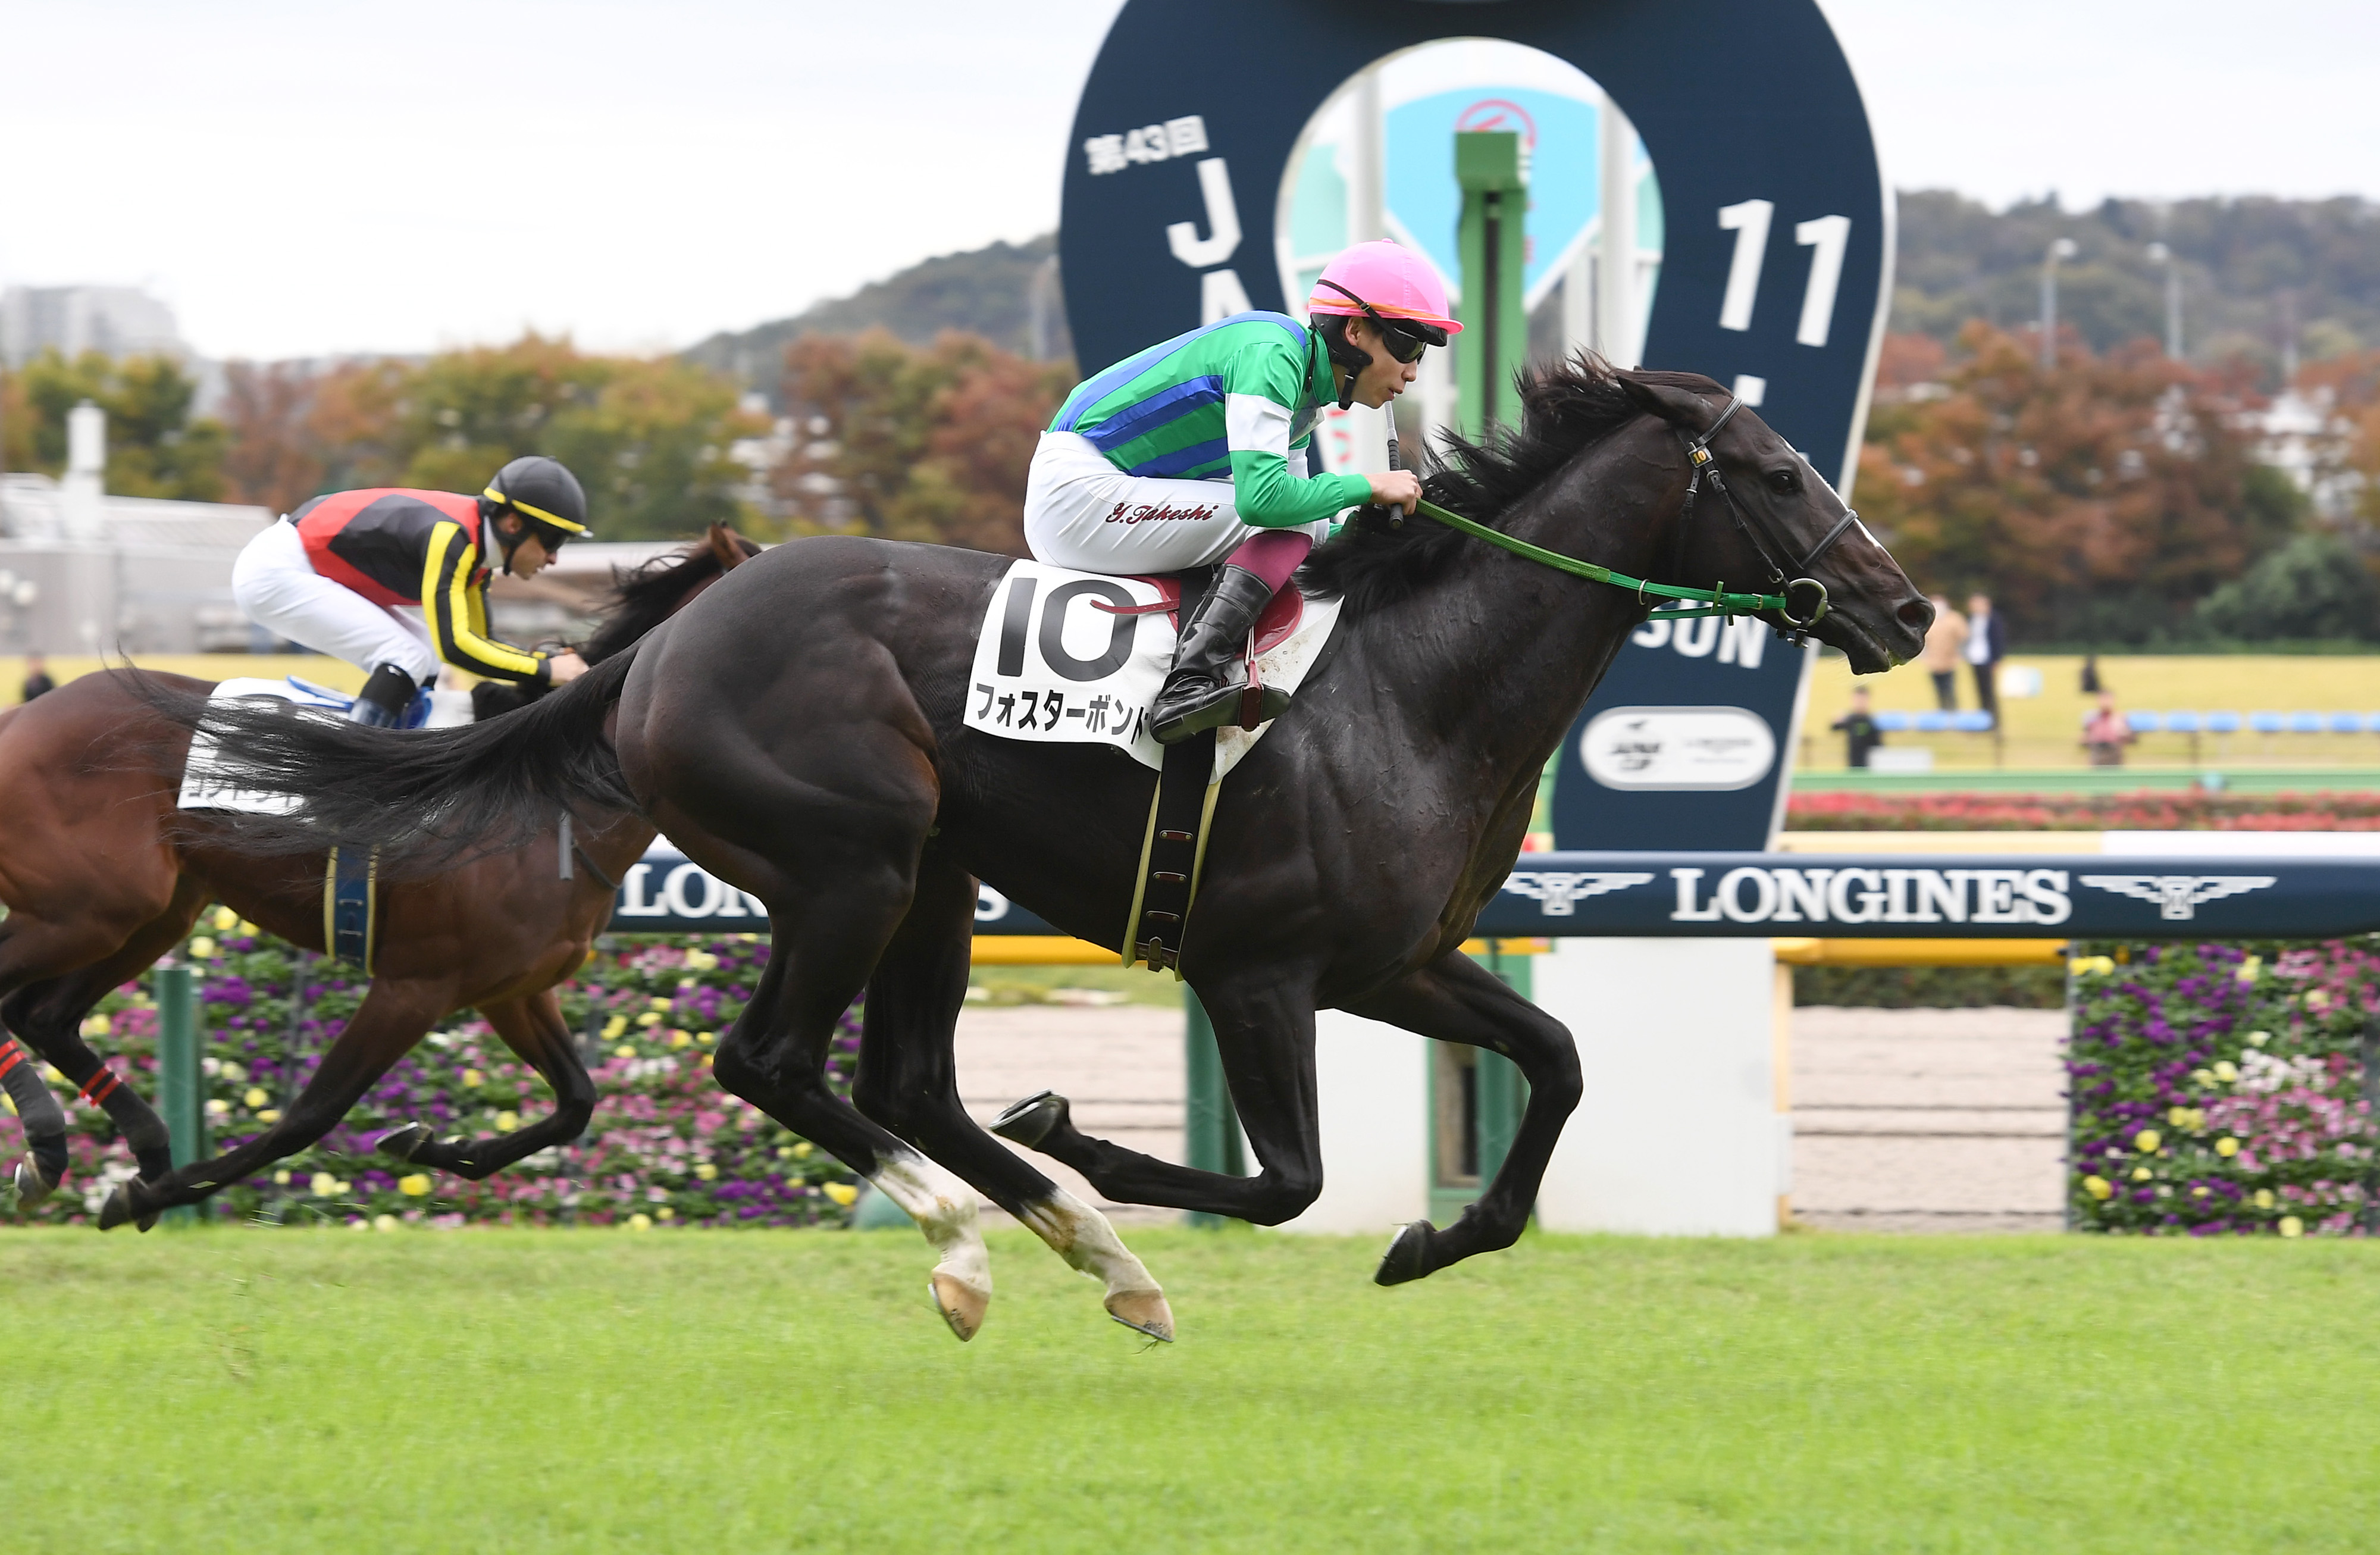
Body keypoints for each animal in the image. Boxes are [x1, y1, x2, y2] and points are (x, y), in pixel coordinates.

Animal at [0, 524, 752, 1228]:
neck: (548, 793)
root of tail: (22, 715)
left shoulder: (514, 988)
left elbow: (576, 1102)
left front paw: (431, 1145)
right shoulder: (412, 984)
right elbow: (308, 1115)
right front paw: (158, 1191)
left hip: (152, 911)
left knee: (45, 1015)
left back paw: (109, 1150)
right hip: (87, 908)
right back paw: (63, 1145)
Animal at [168, 364, 1923, 1333]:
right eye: (1779, 473)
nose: (1905, 610)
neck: (1408, 685)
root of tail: (662, 644)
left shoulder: (1398, 962)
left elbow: (1554, 1062)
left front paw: (1438, 1235)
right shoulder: (1258, 968)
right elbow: (1286, 1178)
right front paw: (1092, 1135)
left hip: (936, 875)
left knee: (898, 1080)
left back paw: (1081, 1246)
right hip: (854, 861)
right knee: (775, 1061)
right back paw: (984, 1238)